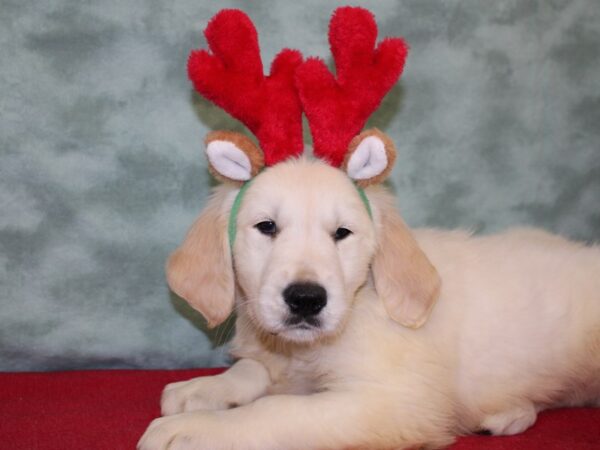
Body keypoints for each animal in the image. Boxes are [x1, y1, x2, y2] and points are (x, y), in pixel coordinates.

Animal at [137, 156, 600, 450]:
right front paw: (203, 388)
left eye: (342, 233)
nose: (306, 300)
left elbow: (276, 410)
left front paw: (194, 429)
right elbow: (253, 370)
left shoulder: (394, 403)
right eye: (266, 227)